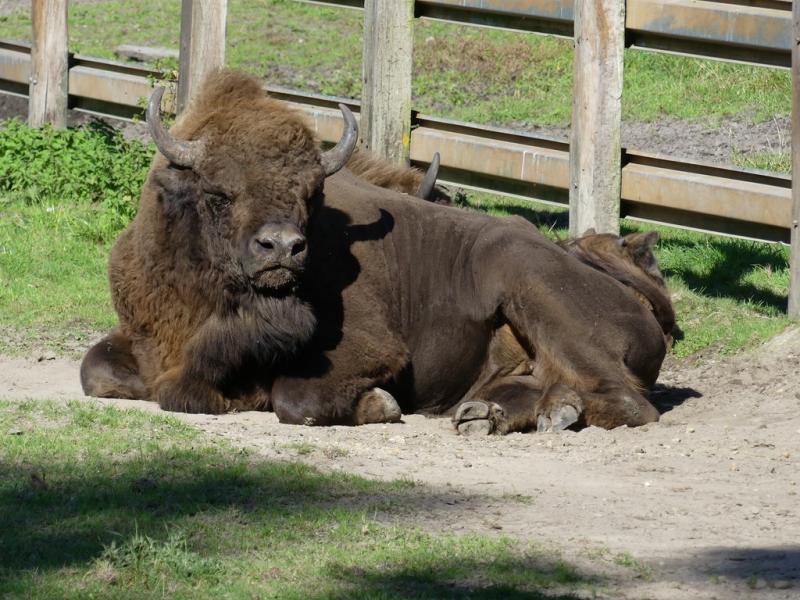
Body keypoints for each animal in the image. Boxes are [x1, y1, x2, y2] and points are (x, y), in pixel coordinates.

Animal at [82, 70, 669, 434]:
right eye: (218, 193)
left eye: (310, 194)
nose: (283, 248)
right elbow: (95, 371)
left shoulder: (370, 349)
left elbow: (295, 398)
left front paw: (380, 405)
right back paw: (490, 416)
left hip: (528, 281)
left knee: (628, 401)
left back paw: (553, 417)